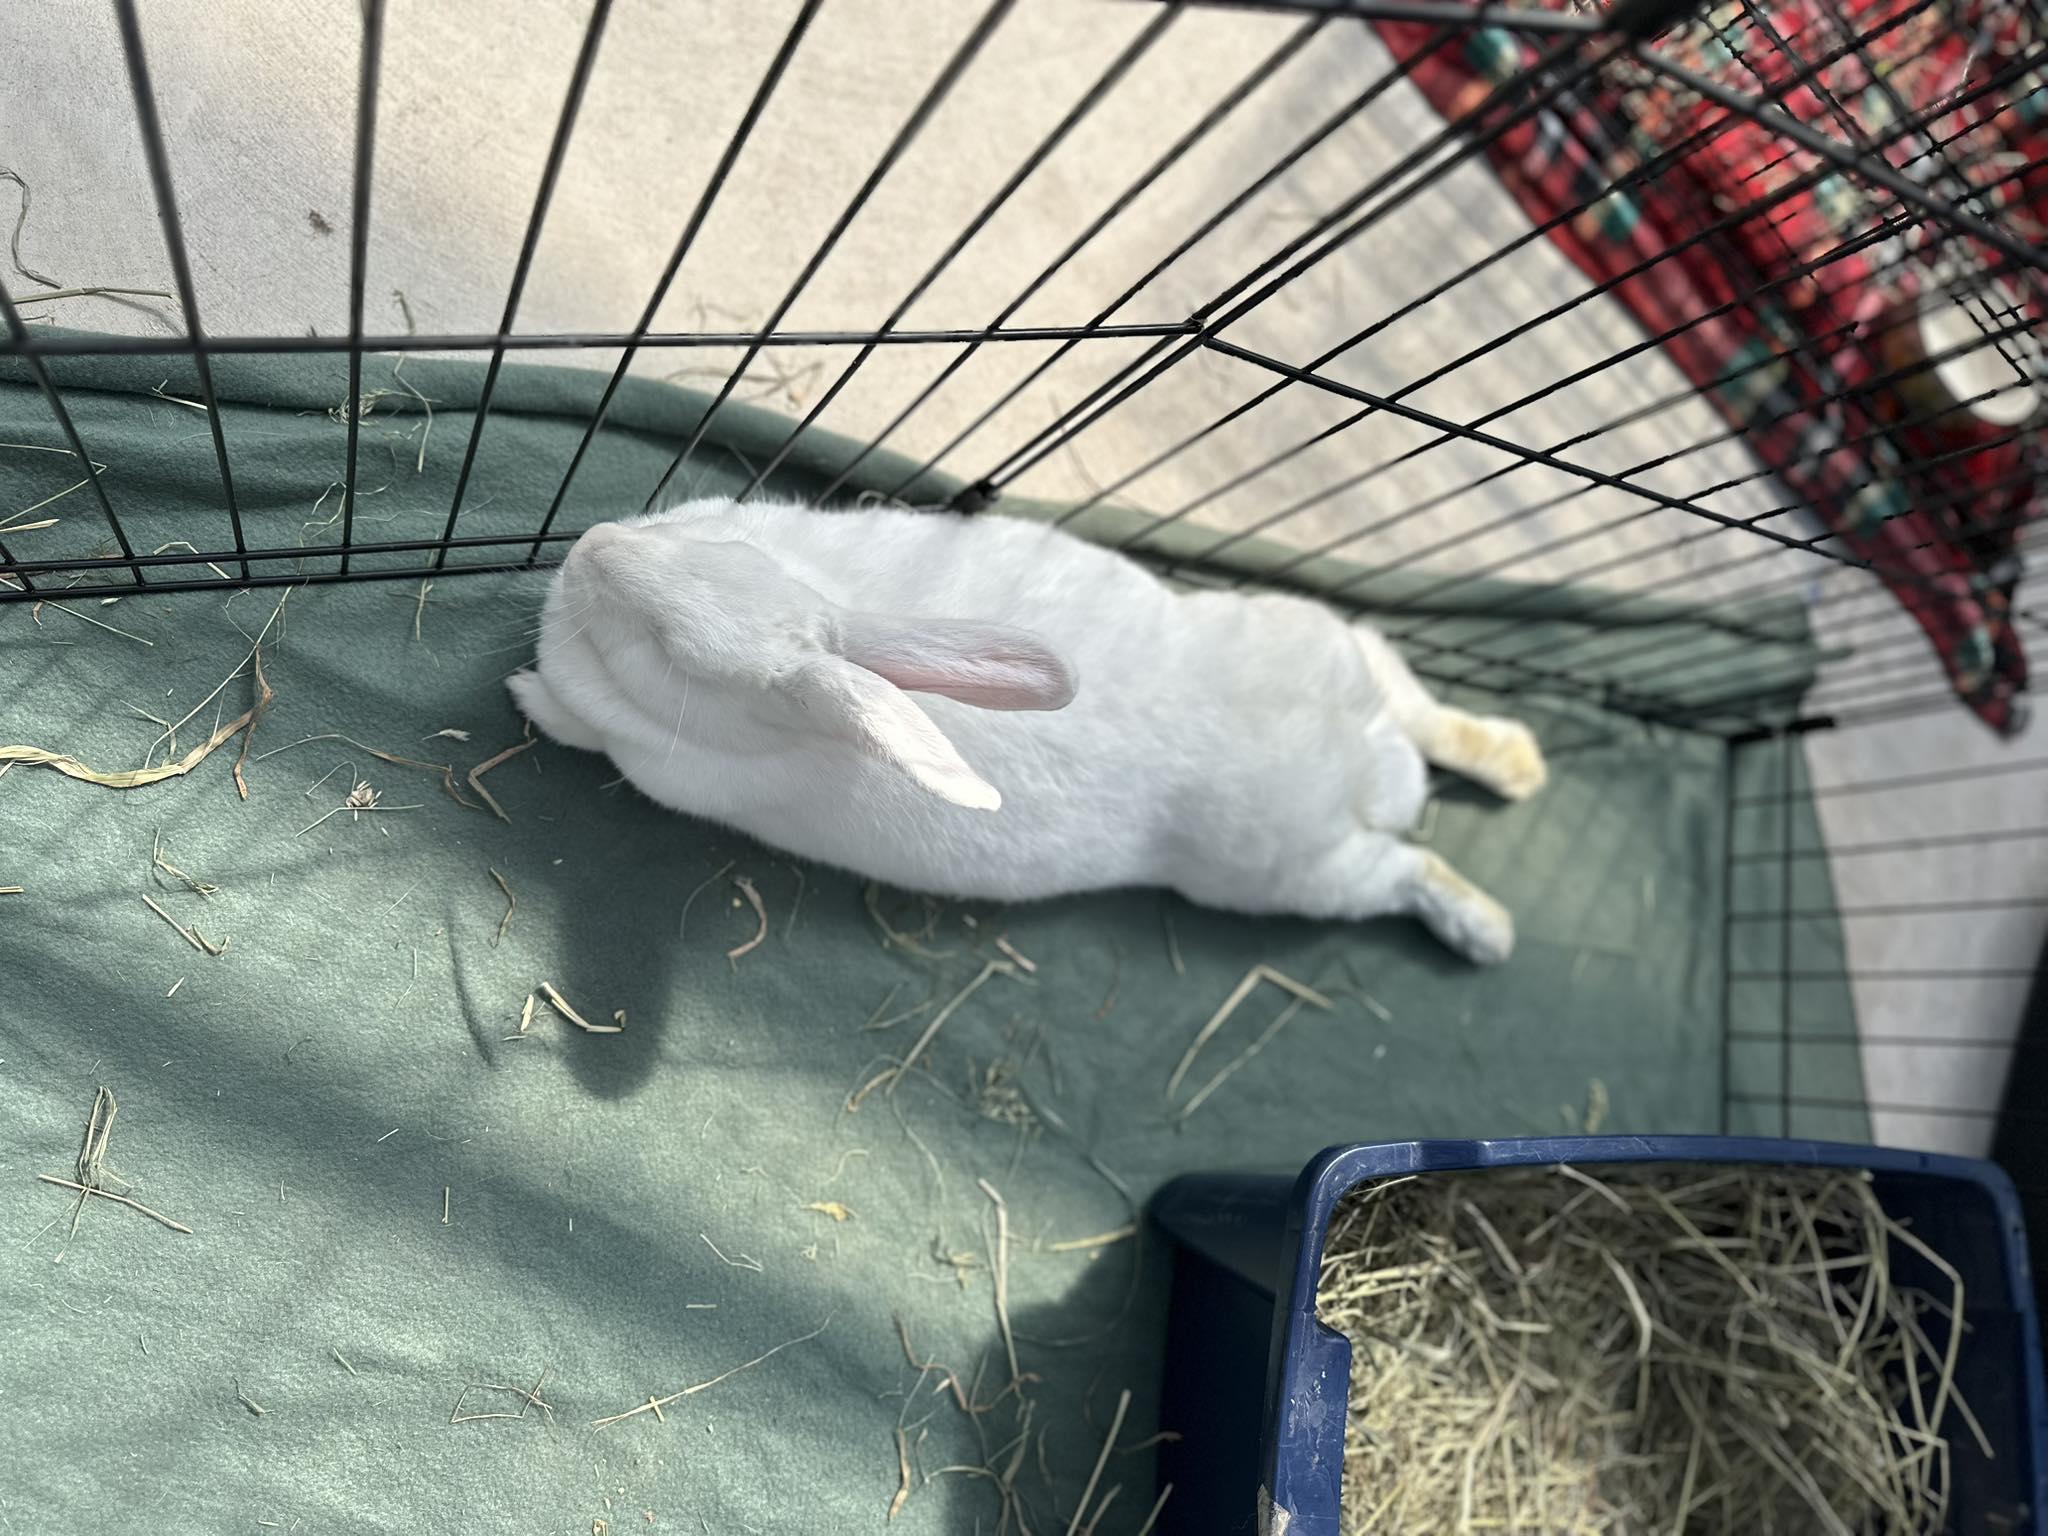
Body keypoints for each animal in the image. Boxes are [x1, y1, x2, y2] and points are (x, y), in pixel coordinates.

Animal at [508, 497, 1547, 963]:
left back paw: (1491, 933)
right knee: (1417, 703)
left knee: (1411, 868)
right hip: (1327, 644)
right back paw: (1521, 766)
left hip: (1298, 877)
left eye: (666, 648)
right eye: (715, 545)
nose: (594, 546)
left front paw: (526, 693)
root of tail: (1369, 778)